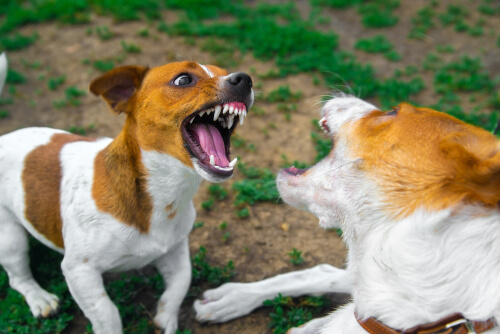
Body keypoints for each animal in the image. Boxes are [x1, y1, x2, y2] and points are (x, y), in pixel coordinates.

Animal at [0, 61, 252, 334]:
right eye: (183, 79)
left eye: (224, 71)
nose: (244, 79)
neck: (165, 192)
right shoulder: (80, 270)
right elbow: (107, 313)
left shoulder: (174, 250)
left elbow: (181, 282)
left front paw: (166, 318)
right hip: (10, 240)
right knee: (18, 278)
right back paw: (40, 298)